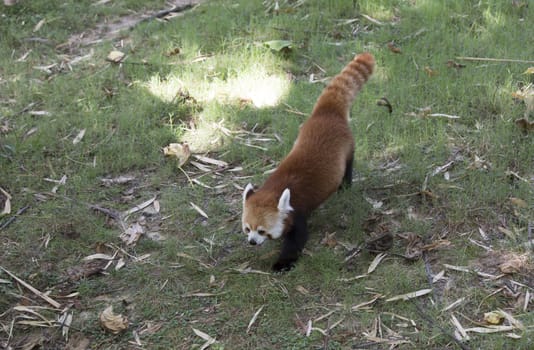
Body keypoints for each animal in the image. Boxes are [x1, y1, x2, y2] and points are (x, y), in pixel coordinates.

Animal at [243, 52, 376, 270]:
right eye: (248, 229)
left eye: (262, 230)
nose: (252, 242)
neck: (275, 190)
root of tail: (326, 113)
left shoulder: (298, 212)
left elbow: (297, 239)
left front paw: (282, 263)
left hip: (348, 146)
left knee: (349, 164)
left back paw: (345, 185)